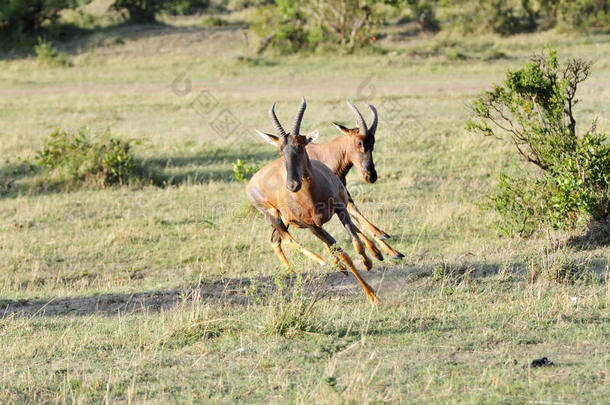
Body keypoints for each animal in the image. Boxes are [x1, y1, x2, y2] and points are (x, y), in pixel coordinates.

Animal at [245, 96, 378, 302]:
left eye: (300, 145)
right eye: (280, 150)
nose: (292, 184)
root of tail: (251, 183)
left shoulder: (340, 208)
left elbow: (357, 243)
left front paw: (369, 262)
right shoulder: (312, 226)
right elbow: (344, 253)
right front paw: (372, 296)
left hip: (288, 219)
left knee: (277, 240)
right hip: (275, 216)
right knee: (287, 240)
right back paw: (321, 263)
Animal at [254, 100, 402, 258]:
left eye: (372, 143)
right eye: (358, 143)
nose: (371, 176)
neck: (324, 154)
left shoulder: (341, 194)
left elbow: (354, 215)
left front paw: (391, 251)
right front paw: (380, 243)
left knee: (275, 239)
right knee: (278, 239)